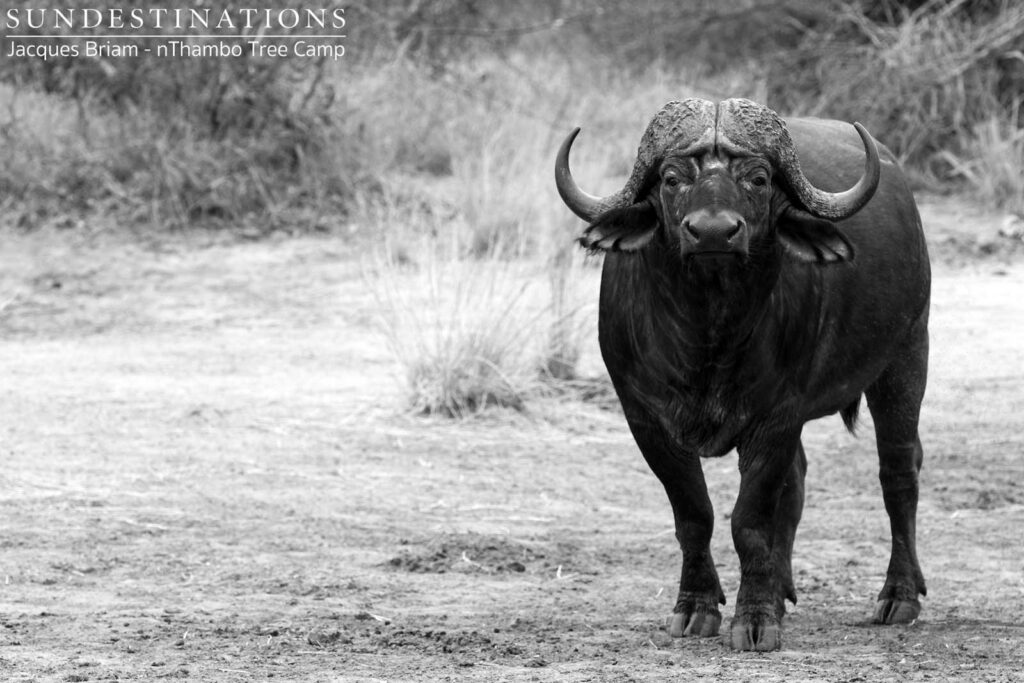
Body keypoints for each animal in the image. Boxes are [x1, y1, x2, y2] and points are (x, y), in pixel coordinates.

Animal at [555, 98, 930, 651]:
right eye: (671, 178)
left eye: (757, 179)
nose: (713, 232)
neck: (709, 336)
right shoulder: (644, 418)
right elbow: (695, 515)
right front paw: (697, 607)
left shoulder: (776, 417)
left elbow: (749, 520)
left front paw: (755, 619)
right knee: (796, 482)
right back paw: (782, 587)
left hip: (906, 359)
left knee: (898, 473)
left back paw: (899, 595)